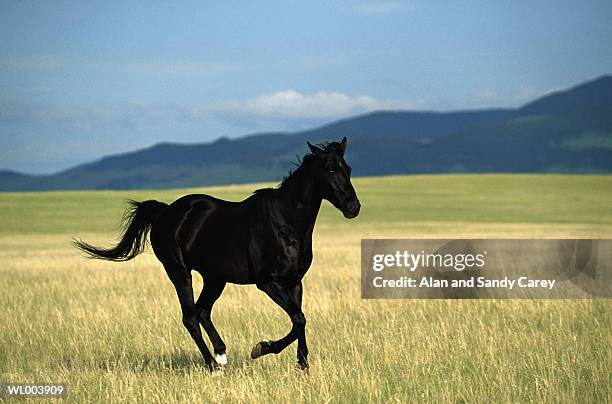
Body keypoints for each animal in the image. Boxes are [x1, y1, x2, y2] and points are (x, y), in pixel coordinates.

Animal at [73, 137, 358, 370]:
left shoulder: (295, 281)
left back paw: (221, 355)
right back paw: (212, 364)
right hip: (179, 272)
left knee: (202, 311)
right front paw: (262, 349)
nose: (353, 207)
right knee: (190, 317)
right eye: (330, 169)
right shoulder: (268, 282)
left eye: (349, 169)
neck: (285, 223)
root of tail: (165, 212)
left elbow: (299, 319)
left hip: (214, 277)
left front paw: (300, 363)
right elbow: (298, 318)